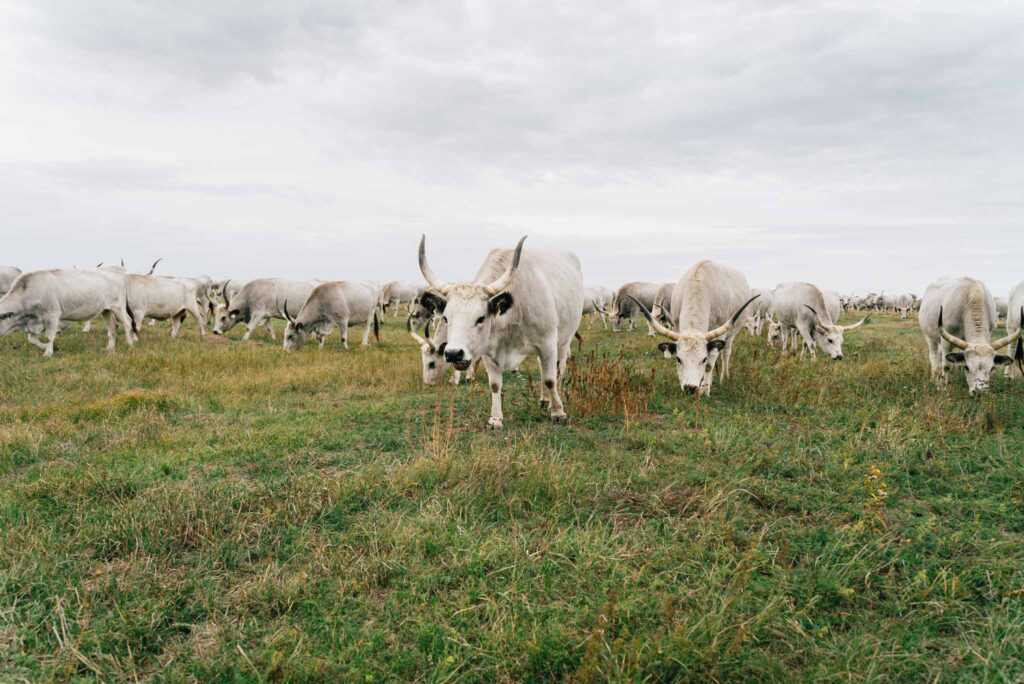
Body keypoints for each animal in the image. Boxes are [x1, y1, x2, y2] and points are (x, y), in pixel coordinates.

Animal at [0, 266, 135, 356]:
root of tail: (114, 269)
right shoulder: (35, 321)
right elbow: (31, 339)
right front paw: (44, 347)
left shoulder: (52, 315)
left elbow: (49, 336)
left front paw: (47, 353)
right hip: (106, 310)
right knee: (113, 327)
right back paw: (109, 348)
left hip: (118, 307)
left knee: (127, 323)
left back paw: (129, 344)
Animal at [415, 235, 581, 428]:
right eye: (446, 318)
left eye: (480, 318)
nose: (454, 353)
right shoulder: (488, 352)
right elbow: (494, 384)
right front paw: (495, 419)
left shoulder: (547, 345)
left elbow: (550, 379)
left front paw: (558, 413)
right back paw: (544, 399)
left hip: (563, 341)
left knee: (558, 370)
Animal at [630, 259, 761, 395]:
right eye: (678, 359)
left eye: (703, 359)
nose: (690, 388)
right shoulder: (677, 327)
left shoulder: (720, 333)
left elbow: (709, 365)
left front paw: (705, 390)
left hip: (731, 334)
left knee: (725, 353)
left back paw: (723, 378)